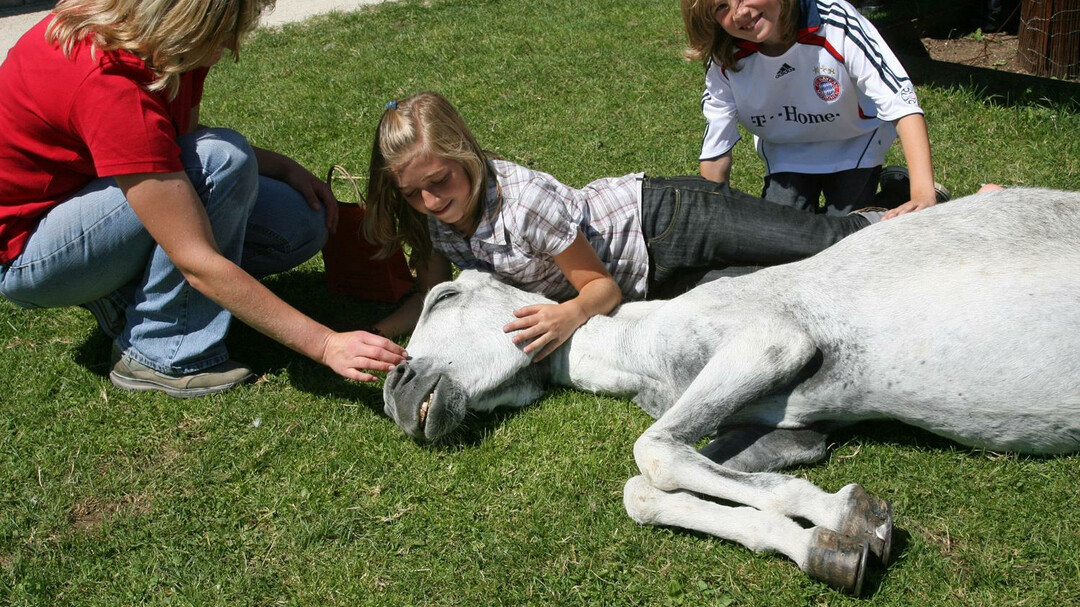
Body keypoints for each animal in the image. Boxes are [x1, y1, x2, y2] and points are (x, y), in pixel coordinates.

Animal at [382, 187, 1080, 594]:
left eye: (444, 297)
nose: (394, 391)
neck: (642, 351)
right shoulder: (790, 433)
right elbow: (653, 489)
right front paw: (825, 543)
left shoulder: (770, 342)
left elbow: (653, 456)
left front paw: (850, 518)